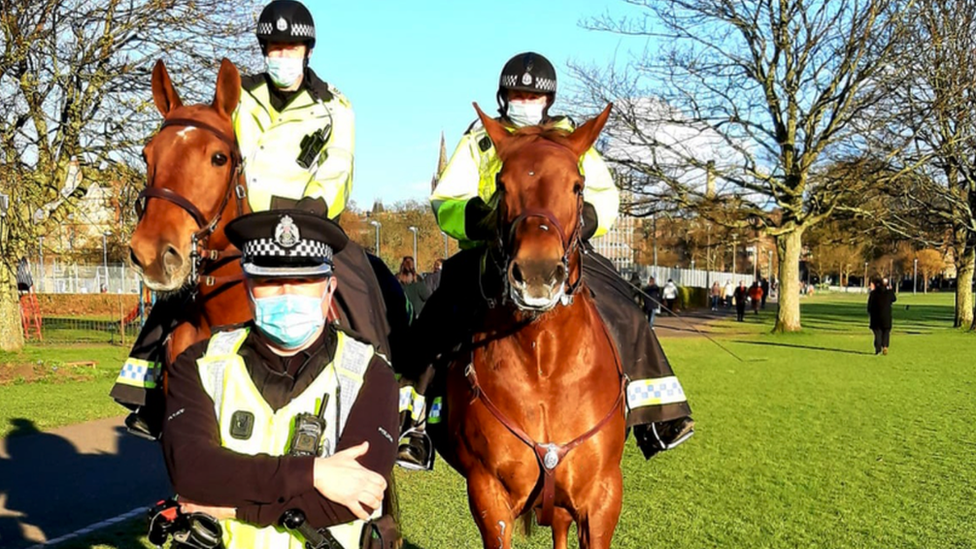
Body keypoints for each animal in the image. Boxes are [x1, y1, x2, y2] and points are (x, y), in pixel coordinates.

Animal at [436, 104, 624, 548]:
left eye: (578, 185)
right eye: (502, 185)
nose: (537, 273)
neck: (545, 364)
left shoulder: (602, 498)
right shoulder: (488, 495)